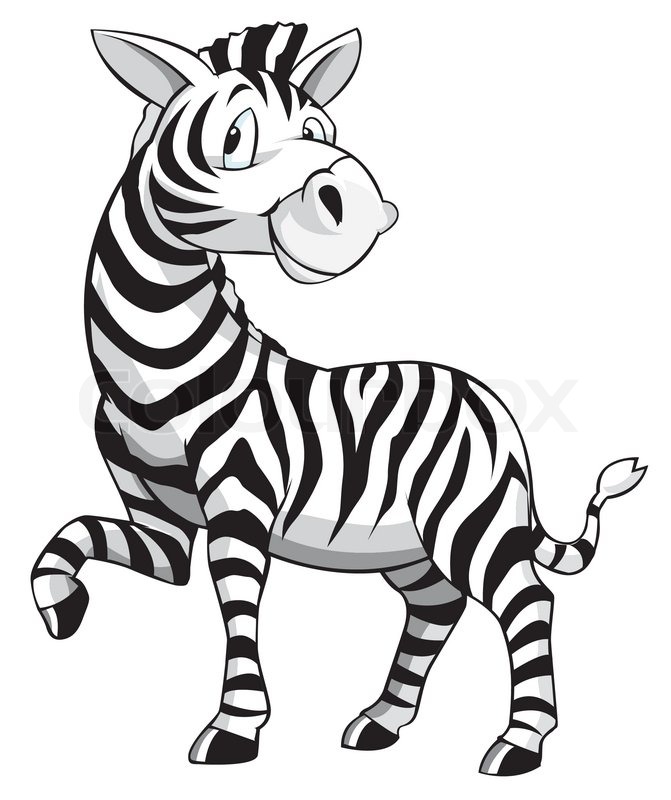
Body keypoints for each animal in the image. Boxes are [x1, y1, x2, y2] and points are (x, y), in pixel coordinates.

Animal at [31, 23, 646, 776]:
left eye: (322, 130)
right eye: (235, 135)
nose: (359, 205)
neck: (153, 377)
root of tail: (492, 406)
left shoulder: (239, 507)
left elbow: (238, 613)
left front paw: (234, 730)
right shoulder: (161, 528)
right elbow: (73, 535)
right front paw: (62, 608)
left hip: (469, 522)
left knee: (528, 600)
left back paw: (519, 741)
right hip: (411, 548)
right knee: (438, 608)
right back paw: (382, 720)